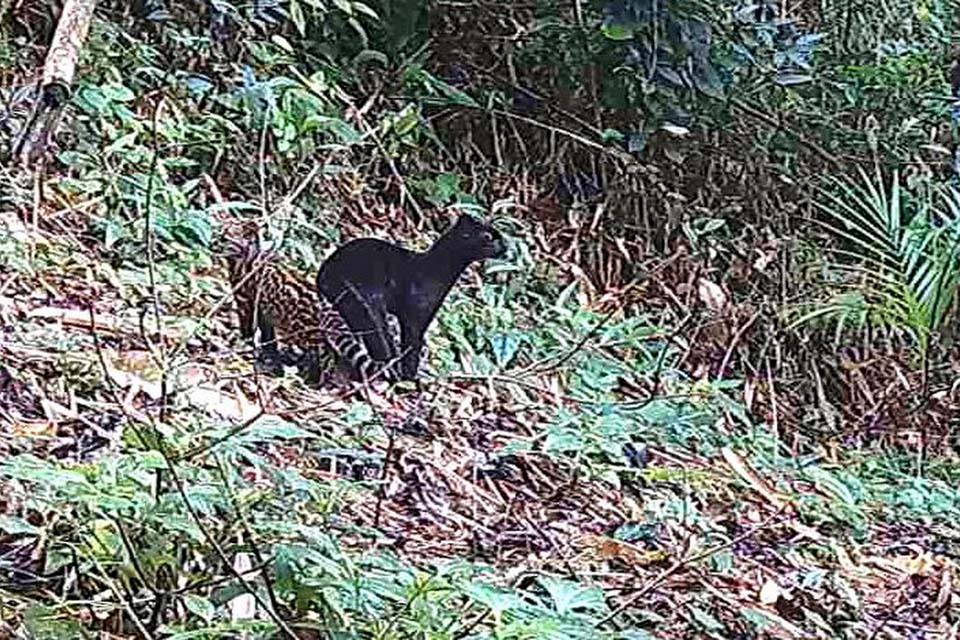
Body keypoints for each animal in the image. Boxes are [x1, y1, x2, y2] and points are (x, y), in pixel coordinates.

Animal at [316, 215, 510, 380]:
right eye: (489, 236)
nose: (507, 246)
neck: (436, 269)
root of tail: (324, 274)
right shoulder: (415, 318)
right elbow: (412, 349)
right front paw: (411, 378)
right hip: (368, 307)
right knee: (382, 347)